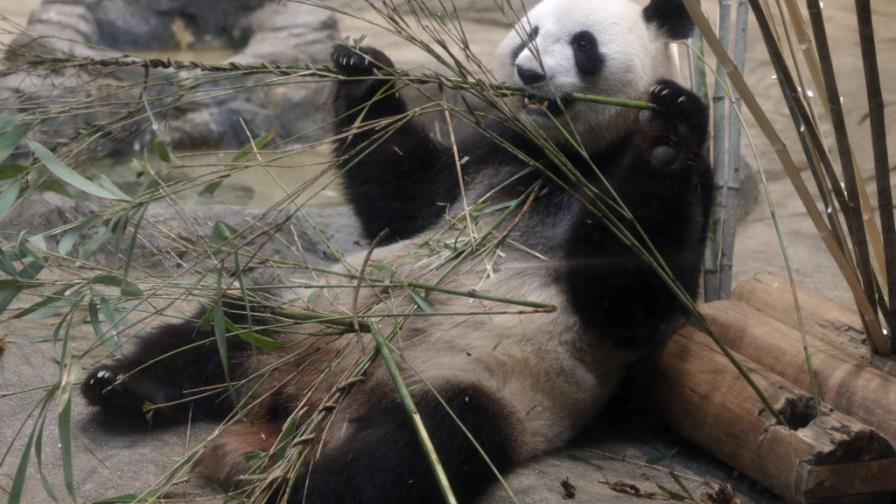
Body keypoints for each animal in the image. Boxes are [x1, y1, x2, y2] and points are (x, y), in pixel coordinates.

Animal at [80, 0, 711, 502]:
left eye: (583, 45)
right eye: (529, 31)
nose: (529, 74)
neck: (560, 154)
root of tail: (299, 405)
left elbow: (629, 299)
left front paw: (667, 137)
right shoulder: (492, 152)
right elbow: (401, 201)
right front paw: (362, 72)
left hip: (480, 386)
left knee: (413, 451)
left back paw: (301, 487)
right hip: (310, 315)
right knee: (225, 327)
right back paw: (121, 385)